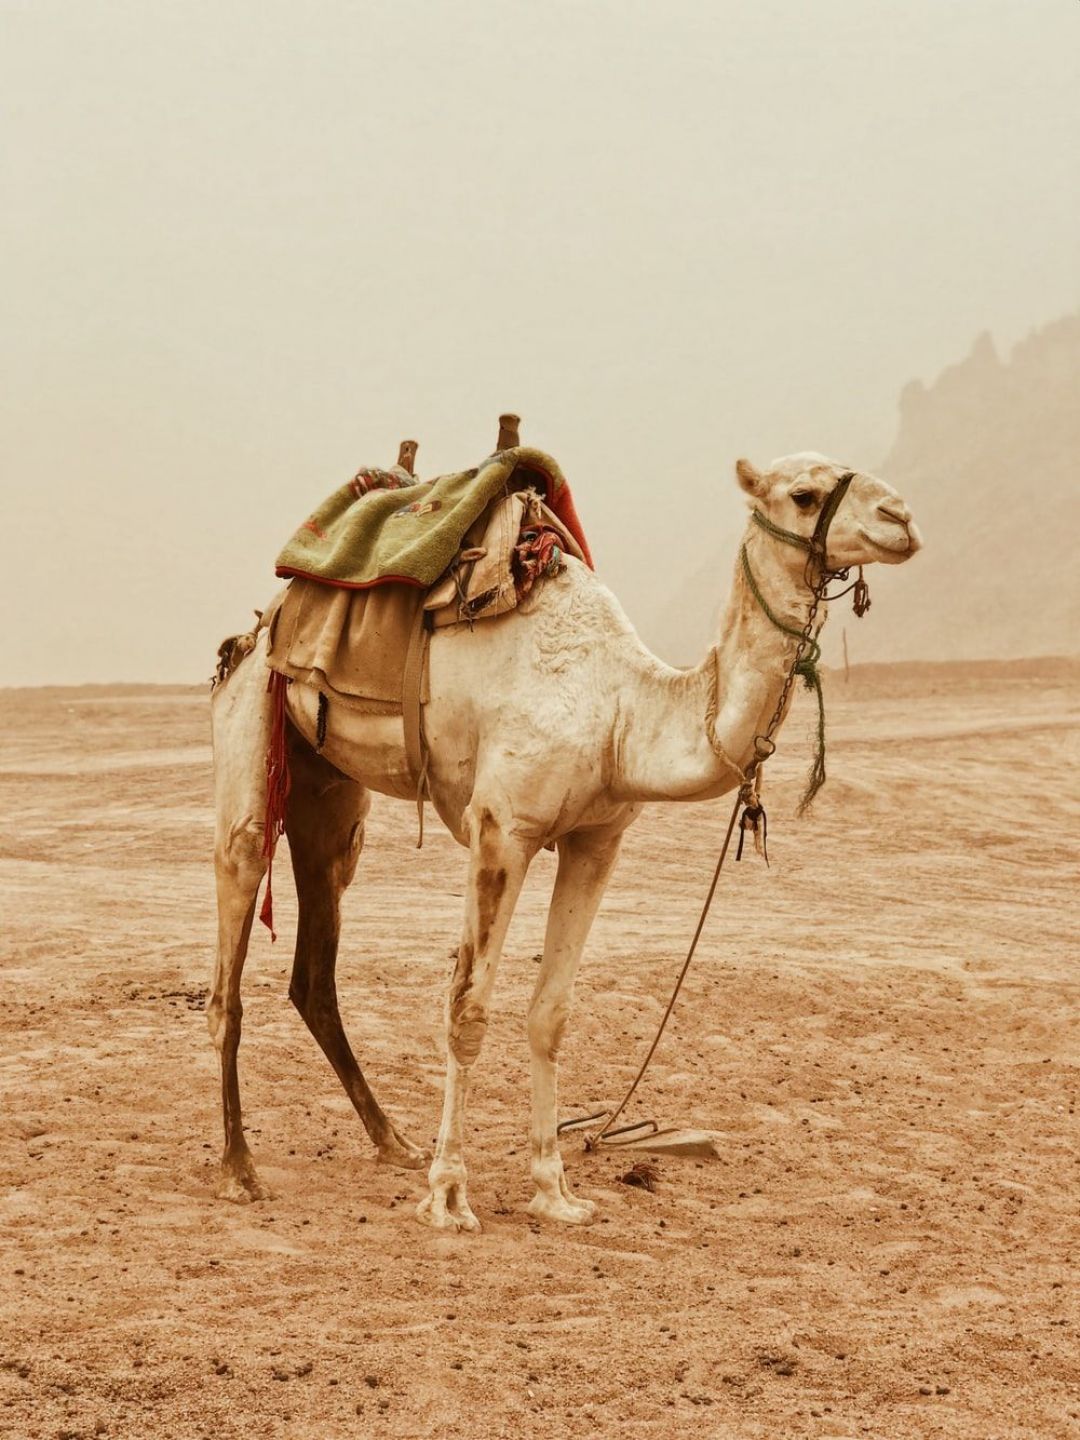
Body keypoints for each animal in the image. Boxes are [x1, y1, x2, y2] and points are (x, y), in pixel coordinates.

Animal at [208, 449, 921, 1231]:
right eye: (804, 494)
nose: (902, 519)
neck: (621, 712)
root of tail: (259, 626)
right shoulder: (502, 829)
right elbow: (466, 1010)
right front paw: (449, 1196)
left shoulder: (596, 841)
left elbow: (550, 1014)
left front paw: (554, 1190)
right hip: (251, 728)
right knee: (231, 952)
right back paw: (241, 1168)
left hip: (330, 794)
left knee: (315, 962)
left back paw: (391, 1139)